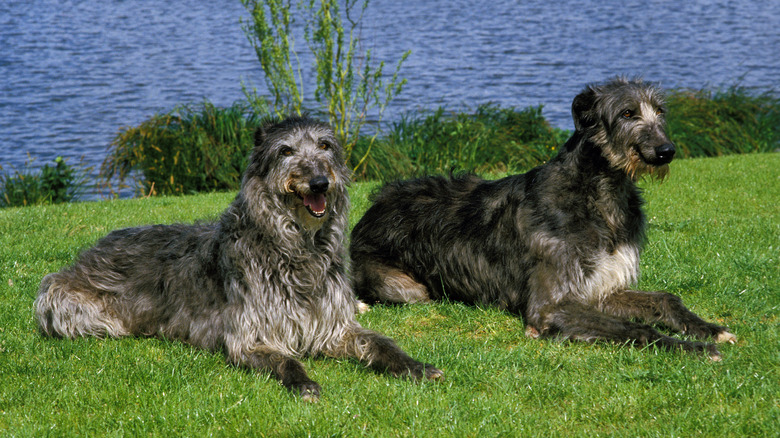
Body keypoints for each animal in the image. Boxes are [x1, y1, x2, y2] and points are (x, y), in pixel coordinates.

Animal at [36, 114, 442, 400]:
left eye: (325, 146)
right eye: (286, 151)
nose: (320, 183)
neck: (295, 249)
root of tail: (90, 250)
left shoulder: (334, 327)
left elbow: (378, 342)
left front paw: (415, 366)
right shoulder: (250, 335)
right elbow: (285, 358)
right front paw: (304, 383)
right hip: (71, 305)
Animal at [350, 78, 736, 360]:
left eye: (660, 111)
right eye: (627, 113)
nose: (666, 151)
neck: (598, 194)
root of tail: (371, 209)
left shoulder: (601, 288)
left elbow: (664, 299)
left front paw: (710, 329)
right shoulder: (550, 305)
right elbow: (632, 328)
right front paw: (692, 347)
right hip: (406, 288)